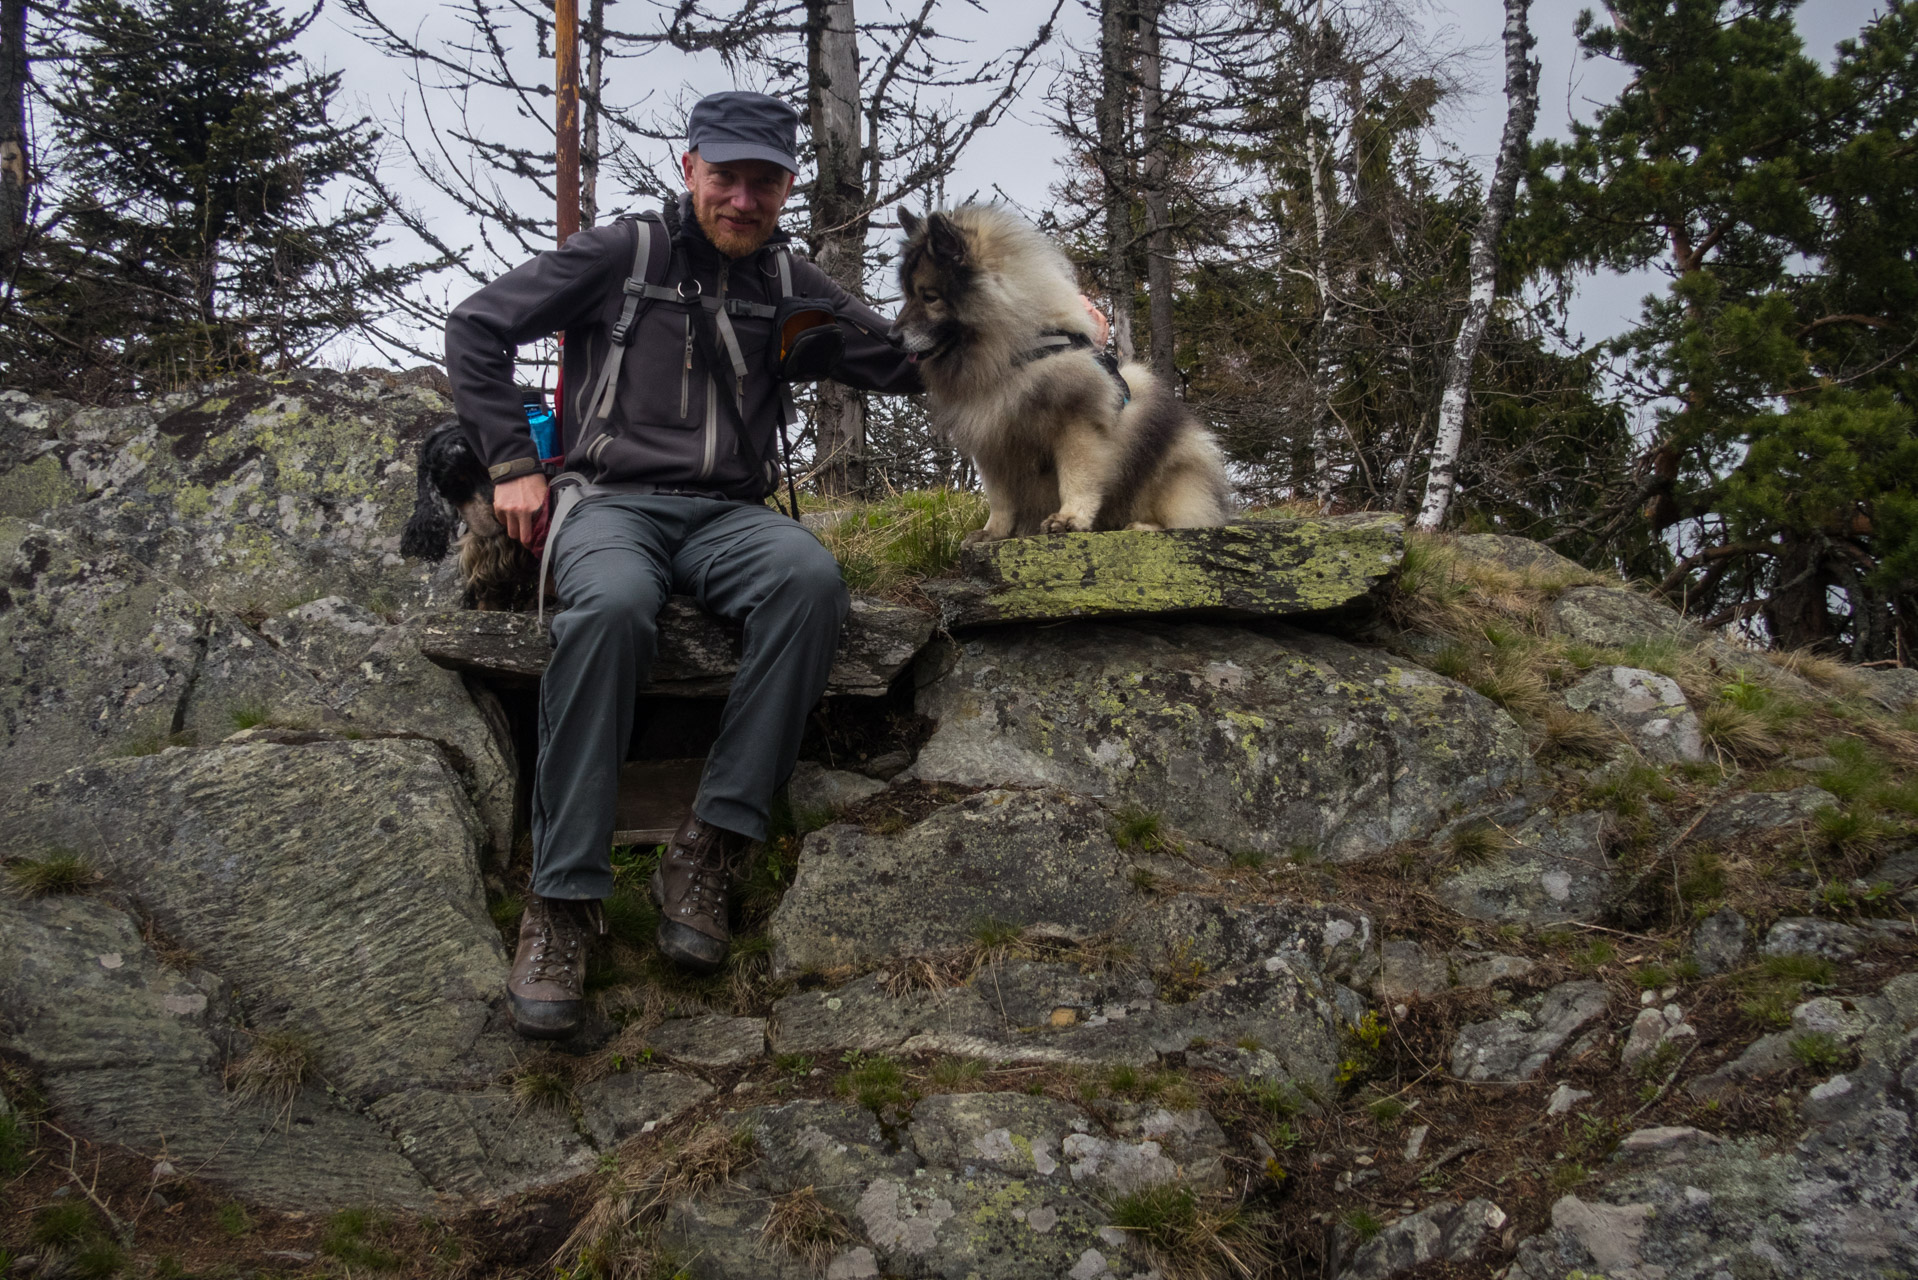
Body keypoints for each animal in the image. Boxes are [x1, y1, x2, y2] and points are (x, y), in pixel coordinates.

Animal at [893, 208, 1227, 537]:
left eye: (929, 296)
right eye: (908, 295)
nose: (891, 337)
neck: (1011, 354)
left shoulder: (1075, 423)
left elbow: (1076, 477)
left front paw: (1069, 518)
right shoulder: (991, 439)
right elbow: (1000, 498)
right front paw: (992, 532)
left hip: (1176, 470)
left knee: (1187, 516)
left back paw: (1143, 525)